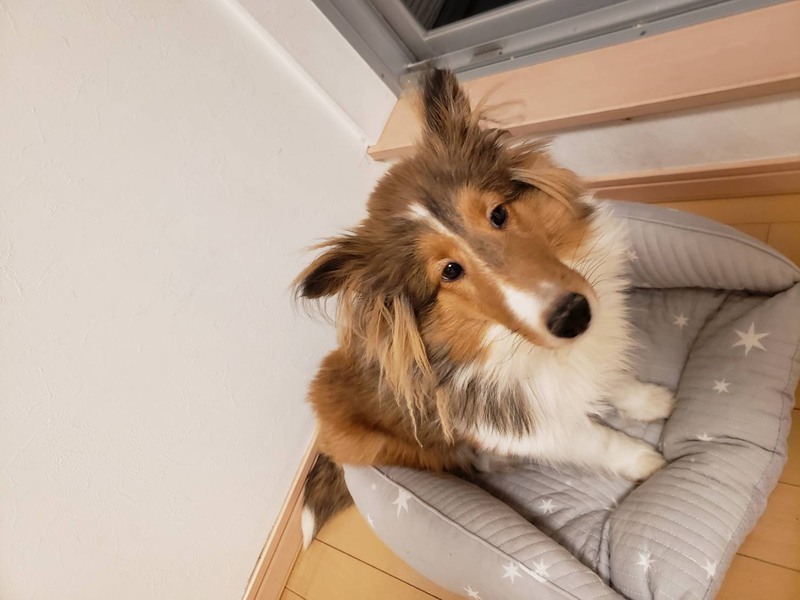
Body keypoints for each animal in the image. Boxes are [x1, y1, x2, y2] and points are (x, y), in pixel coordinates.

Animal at [294, 69, 675, 548]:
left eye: (497, 214)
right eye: (450, 271)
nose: (573, 315)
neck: (509, 341)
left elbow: (616, 378)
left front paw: (650, 400)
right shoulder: (534, 428)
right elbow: (596, 439)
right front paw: (644, 460)